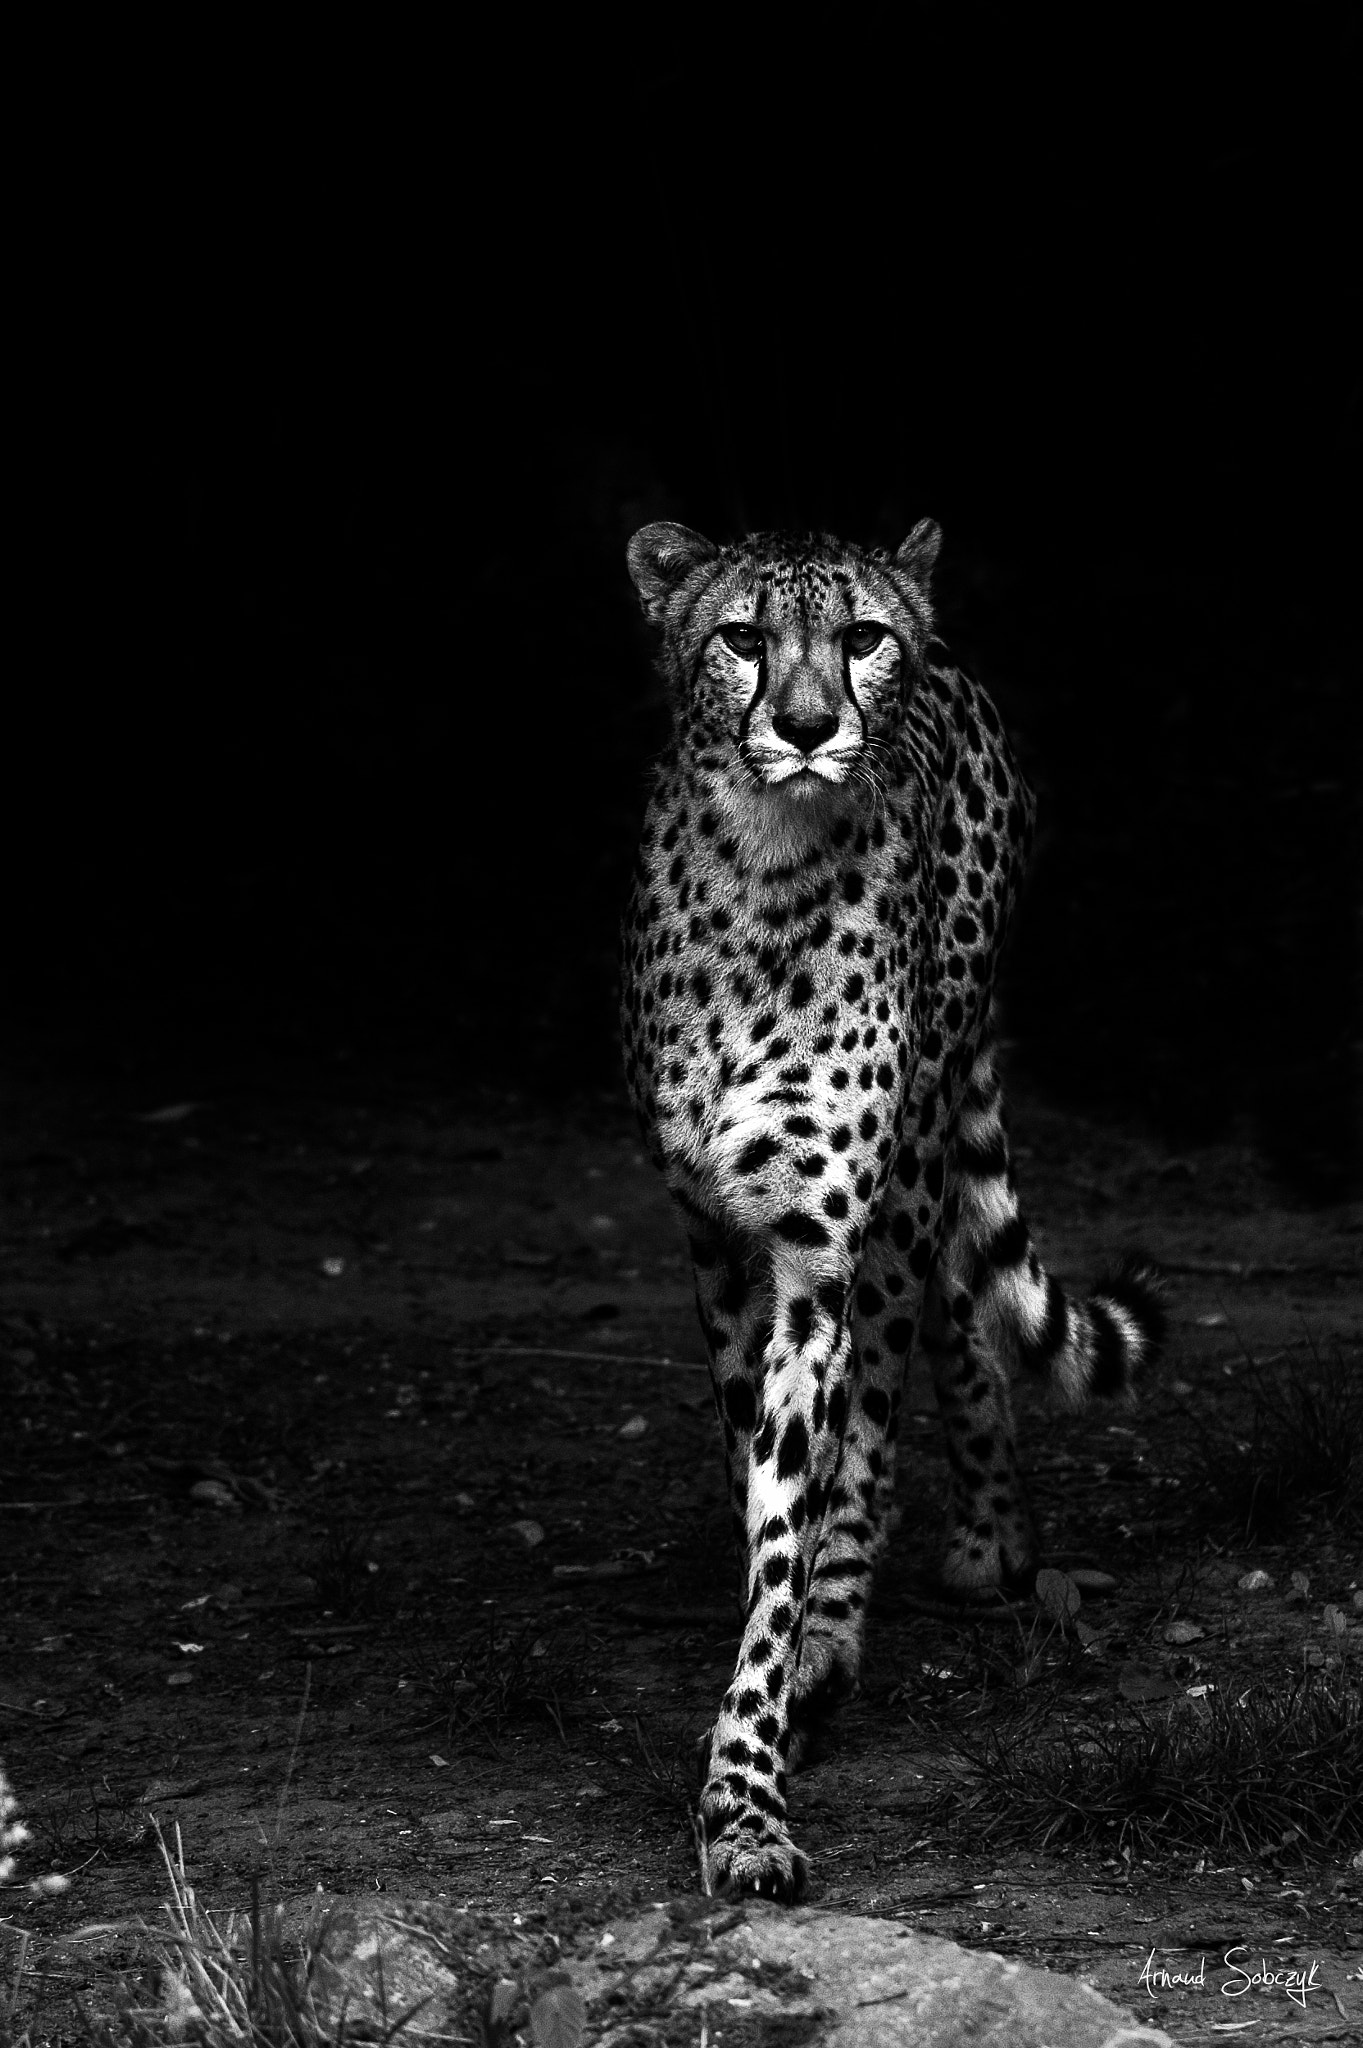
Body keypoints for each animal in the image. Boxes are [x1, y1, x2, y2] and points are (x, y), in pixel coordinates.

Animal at [619, 517, 1164, 1903]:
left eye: (860, 637)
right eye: (740, 635)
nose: (809, 724)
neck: (766, 861)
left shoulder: (816, 1262)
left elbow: (806, 1496)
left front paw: (751, 1784)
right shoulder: (713, 1244)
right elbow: (751, 1472)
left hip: (915, 1148)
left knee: (912, 1339)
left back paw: (911, 1578)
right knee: (958, 1316)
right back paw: (981, 1536)